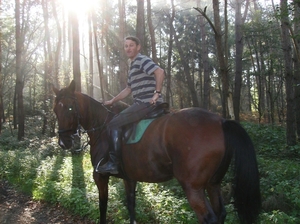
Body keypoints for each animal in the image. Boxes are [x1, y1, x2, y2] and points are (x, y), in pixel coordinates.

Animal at [52, 81, 262, 224]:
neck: (102, 127)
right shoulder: (129, 178)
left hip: (193, 187)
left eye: (70, 108)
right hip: (213, 184)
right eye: (55, 110)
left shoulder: (100, 177)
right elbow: (131, 206)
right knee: (220, 214)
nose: (64, 142)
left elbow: (102, 207)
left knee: (209, 218)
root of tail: (221, 121)